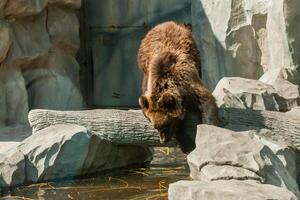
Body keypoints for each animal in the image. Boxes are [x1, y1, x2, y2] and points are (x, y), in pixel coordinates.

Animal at [137, 21, 218, 151]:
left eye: (165, 125)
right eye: (156, 127)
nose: (163, 141)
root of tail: (168, 23)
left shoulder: (188, 83)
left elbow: (206, 101)